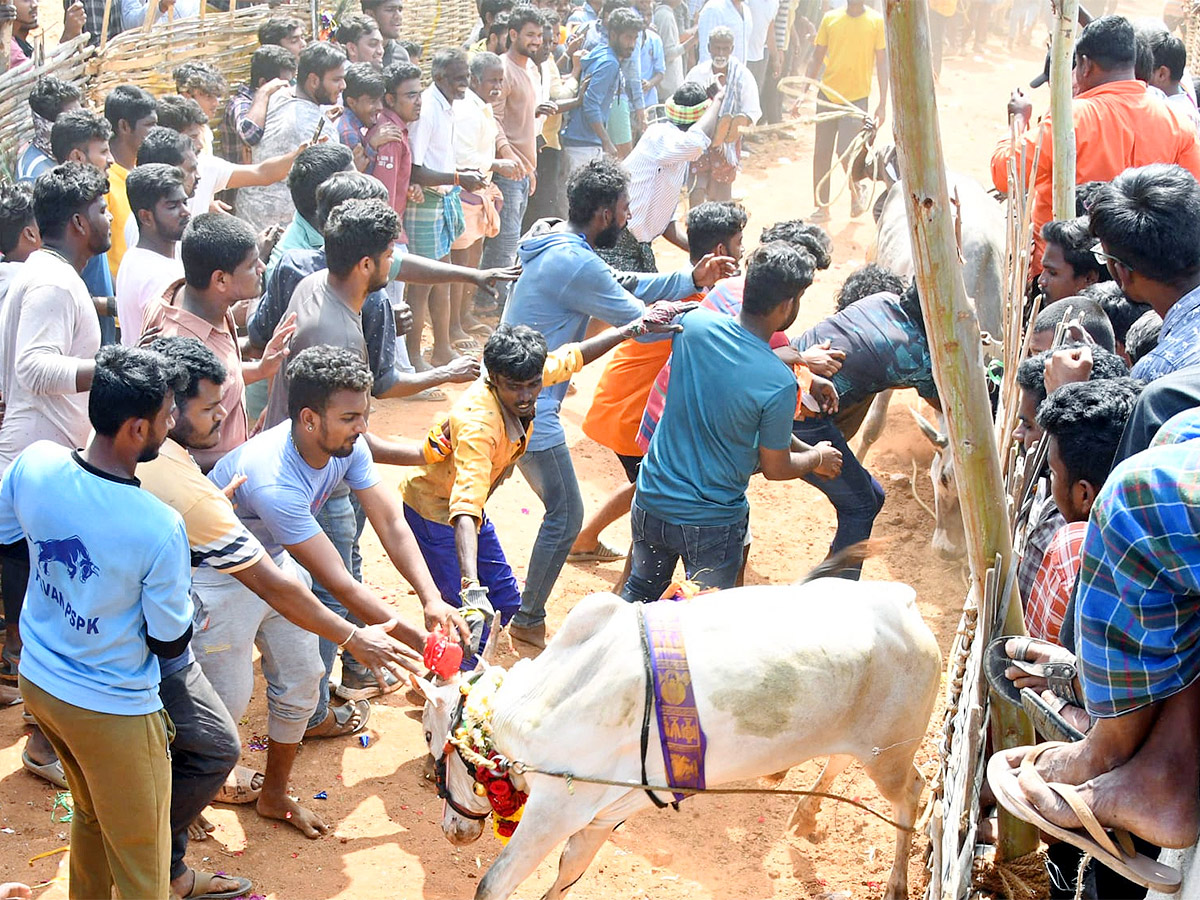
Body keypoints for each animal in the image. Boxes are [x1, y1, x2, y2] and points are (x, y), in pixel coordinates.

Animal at [412, 578, 945, 900]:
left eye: (429, 734)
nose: (453, 830)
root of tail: (903, 603)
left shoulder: (554, 811)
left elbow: (495, 884)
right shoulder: (608, 809)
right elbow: (568, 873)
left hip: (889, 754)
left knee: (914, 794)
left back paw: (897, 882)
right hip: (860, 741)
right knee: (839, 760)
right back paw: (807, 812)